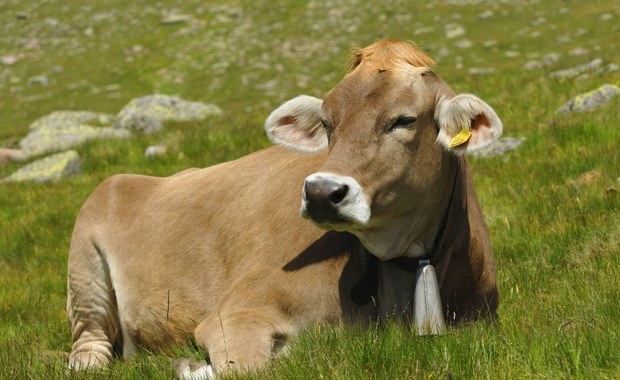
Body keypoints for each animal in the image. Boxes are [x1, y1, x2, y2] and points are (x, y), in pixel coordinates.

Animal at [66, 40, 504, 378]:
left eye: (403, 120)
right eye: (327, 123)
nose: (322, 192)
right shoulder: (236, 313)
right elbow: (250, 367)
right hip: (85, 271)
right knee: (89, 346)